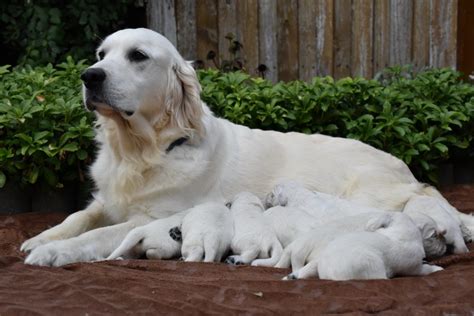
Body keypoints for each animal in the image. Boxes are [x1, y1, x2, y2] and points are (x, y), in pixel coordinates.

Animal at [20, 28, 472, 266]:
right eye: (101, 53)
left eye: (138, 56)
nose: (89, 76)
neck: (141, 150)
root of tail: (400, 164)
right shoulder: (106, 198)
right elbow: (79, 216)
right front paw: (42, 238)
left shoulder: (149, 216)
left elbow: (100, 233)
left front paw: (54, 252)